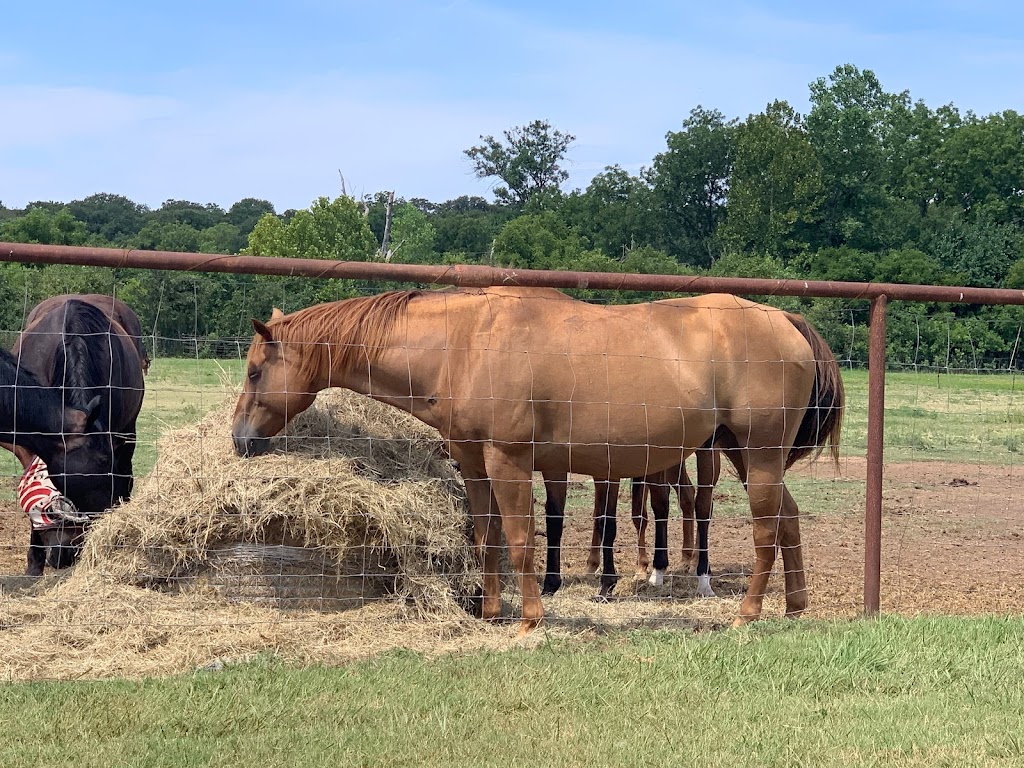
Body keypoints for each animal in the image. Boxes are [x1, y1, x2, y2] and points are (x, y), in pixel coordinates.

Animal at [235, 286, 843, 634]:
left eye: (255, 371)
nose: (239, 440)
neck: (463, 343)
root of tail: (784, 318)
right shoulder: (473, 462)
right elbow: (487, 537)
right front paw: (489, 612)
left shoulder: (508, 461)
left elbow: (522, 538)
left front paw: (529, 621)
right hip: (745, 455)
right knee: (788, 520)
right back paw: (794, 607)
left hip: (756, 456)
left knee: (766, 531)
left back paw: (748, 615)